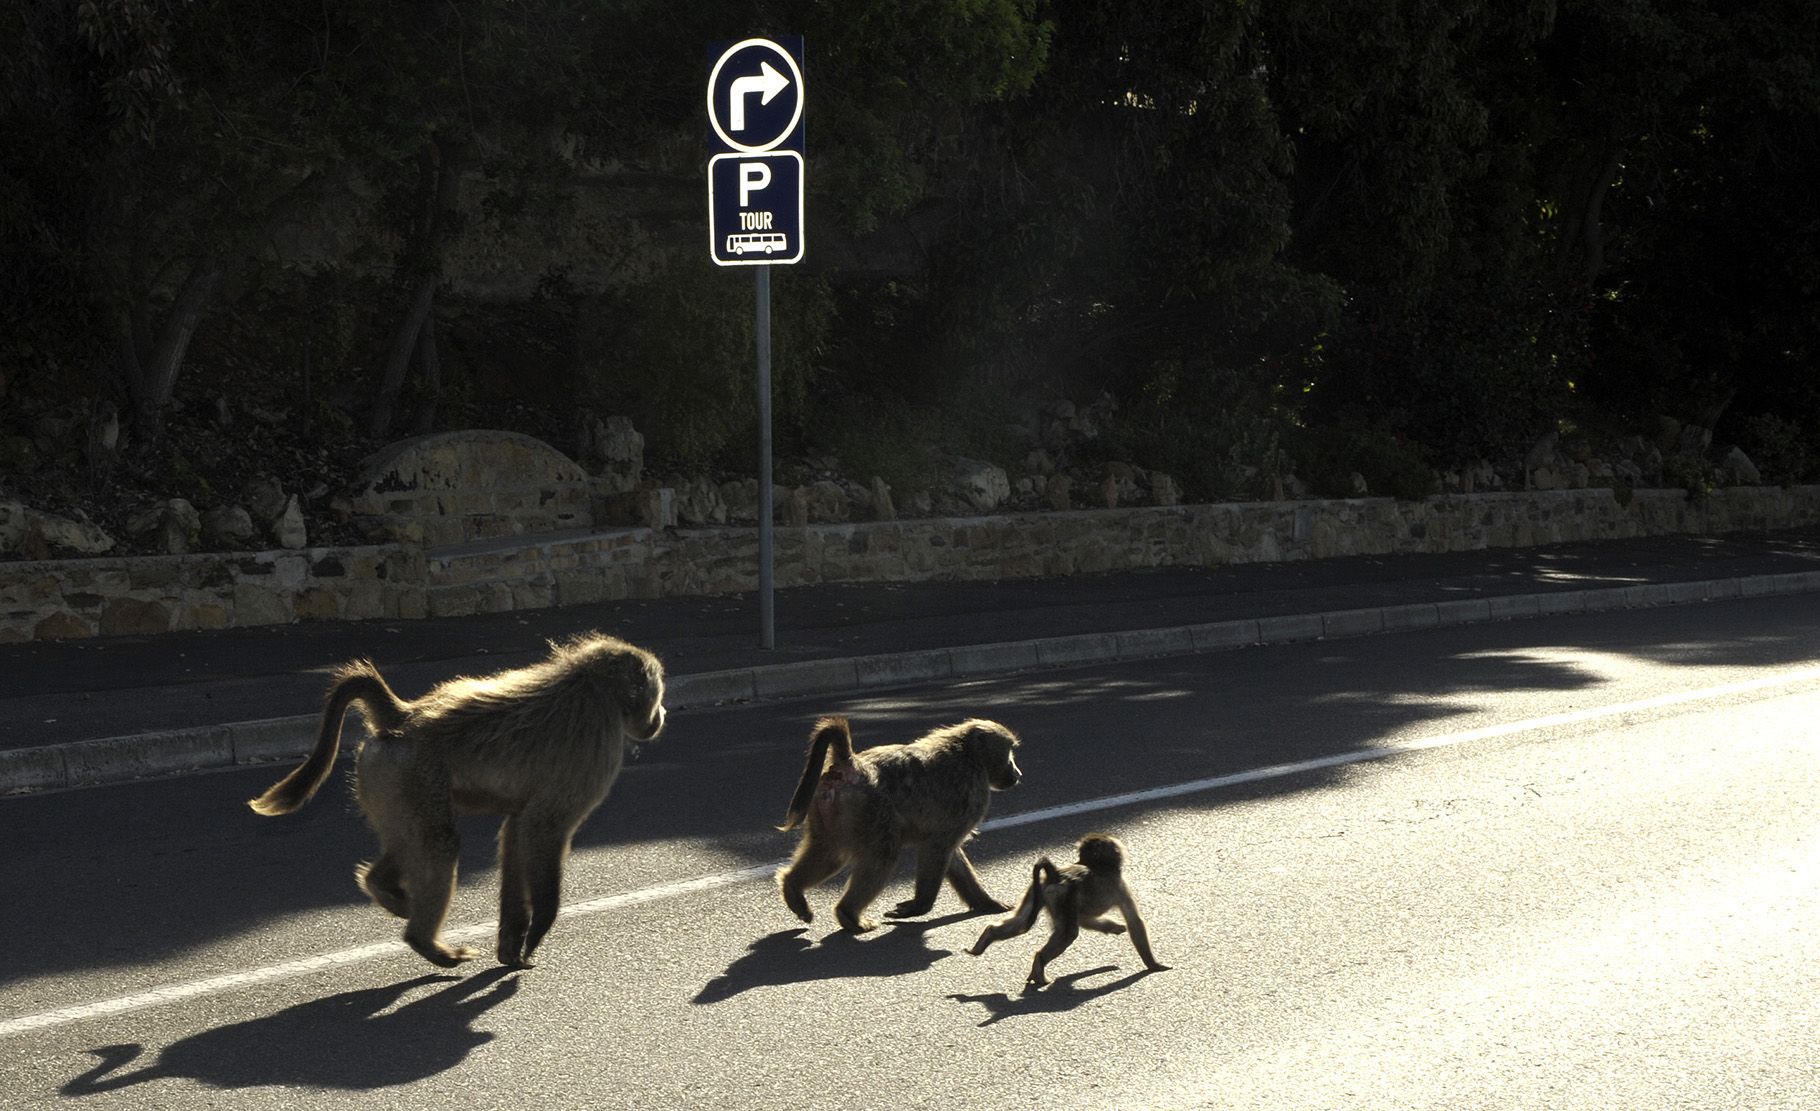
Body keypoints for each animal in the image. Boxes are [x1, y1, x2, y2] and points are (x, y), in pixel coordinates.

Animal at [248, 632, 665, 970]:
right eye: (656, 691)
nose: (661, 715)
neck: (597, 687)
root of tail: (404, 717)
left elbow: (516, 831)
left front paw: (512, 945)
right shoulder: (597, 751)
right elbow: (541, 827)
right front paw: (536, 932)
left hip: (385, 779)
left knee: (412, 844)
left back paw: (386, 891)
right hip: (411, 774)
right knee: (440, 842)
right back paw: (427, 943)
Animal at [776, 715, 1022, 933]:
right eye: (1009, 751)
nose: (1017, 773)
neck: (969, 754)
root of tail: (851, 763)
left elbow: (951, 854)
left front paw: (987, 903)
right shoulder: (972, 796)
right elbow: (938, 847)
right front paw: (917, 907)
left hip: (828, 812)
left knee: (830, 852)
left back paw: (793, 891)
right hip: (870, 810)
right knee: (883, 855)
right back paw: (849, 915)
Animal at [970, 832, 1168, 989]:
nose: (1121, 851)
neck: (1098, 866)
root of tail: (1056, 874)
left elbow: (1085, 919)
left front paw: (1114, 927)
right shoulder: (1120, 885)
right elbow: (1134, 921)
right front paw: (1154, 964)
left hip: (1037, 889)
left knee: (1021, 921)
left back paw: (986, 938)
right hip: (1062, 895)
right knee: (1068, 933)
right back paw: (1039, 964)